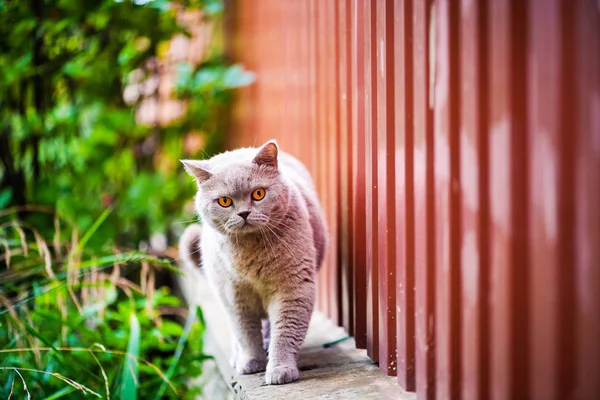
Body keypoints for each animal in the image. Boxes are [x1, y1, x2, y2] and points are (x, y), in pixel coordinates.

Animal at [179, 141, 326, 384]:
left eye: (258, 193)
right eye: (225, 201)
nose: (244, 213)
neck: (251, 255)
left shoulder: (292, 287)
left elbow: (285, 331)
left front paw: (280, 369)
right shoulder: (235, 295)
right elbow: (245, 333)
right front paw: (250, 362)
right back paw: (238, 357)